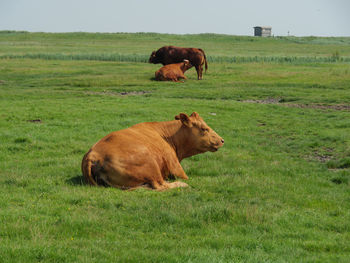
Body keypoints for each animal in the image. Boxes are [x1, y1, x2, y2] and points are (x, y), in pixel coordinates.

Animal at [81, 112, 224, 191]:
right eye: (204, 128)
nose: (222, 140)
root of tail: (93, 155)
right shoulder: (177, 168)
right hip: (151, 165)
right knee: (160, 186)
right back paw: (181, 185)